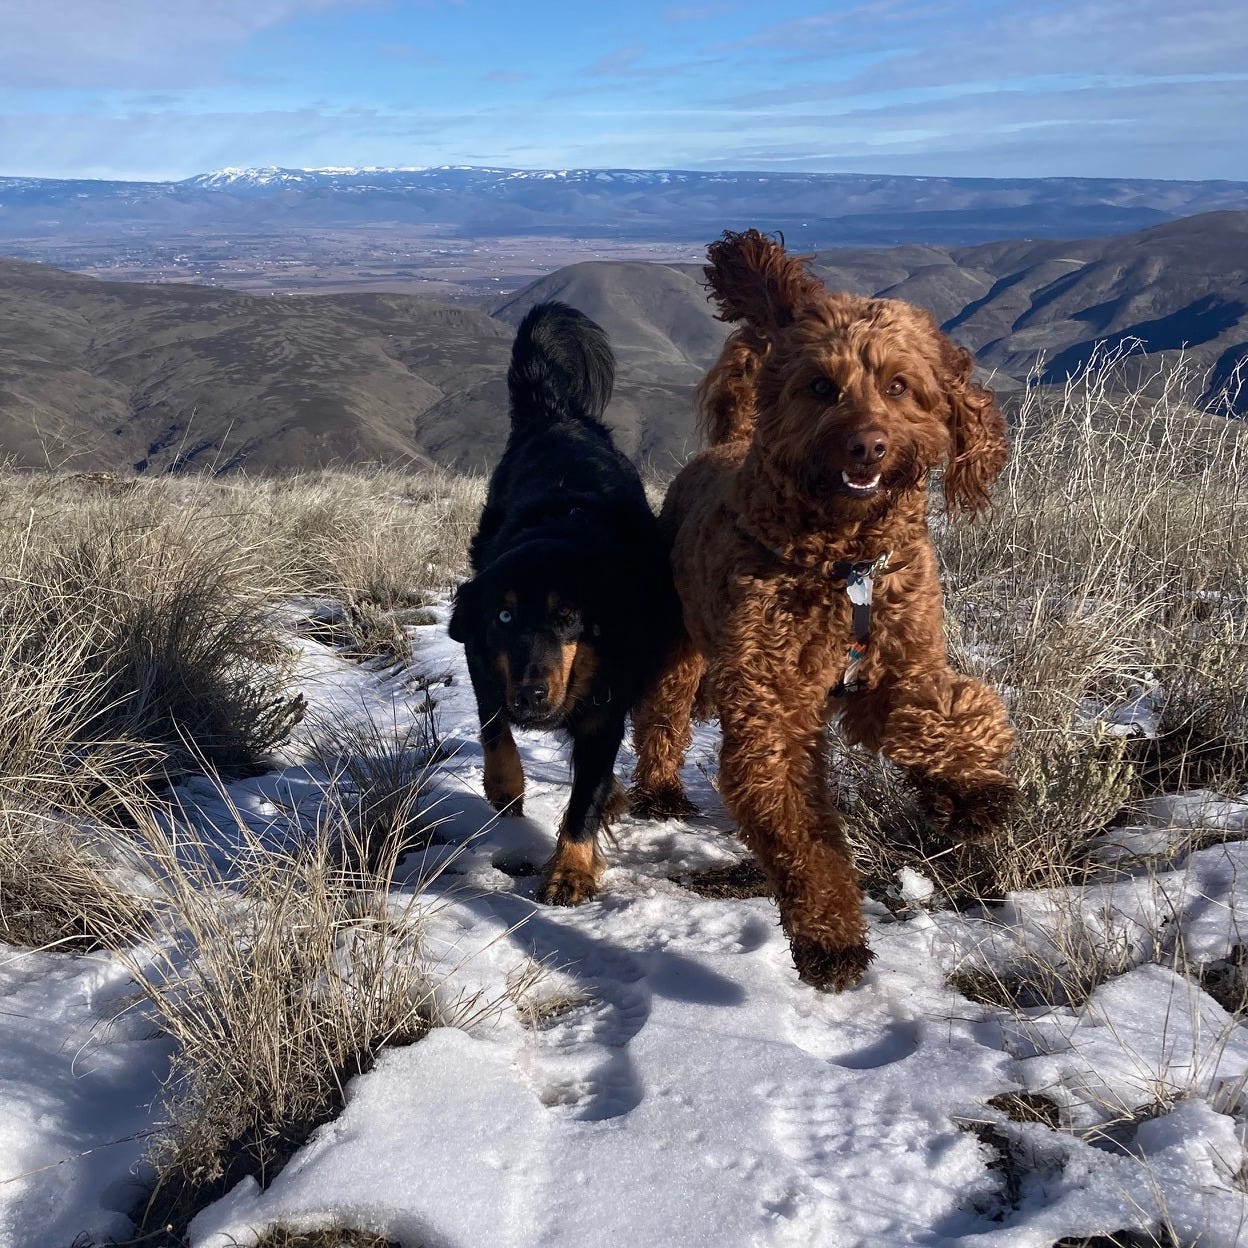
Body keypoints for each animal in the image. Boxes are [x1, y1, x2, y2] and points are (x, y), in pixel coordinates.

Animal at [451, 302, 678, 908]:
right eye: (505, 616)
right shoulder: (481, 651)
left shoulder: (608, 701)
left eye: (568, 617)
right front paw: (504, 785)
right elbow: (493, 726)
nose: (531, 694)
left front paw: (571, 868)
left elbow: (587, 792)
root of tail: (556, 414)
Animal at [633, 229, 1013, 988]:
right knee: (661, 712)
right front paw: (829, 935)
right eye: (820, 387)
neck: (847, 563)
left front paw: (968, 789)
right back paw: (657, 790)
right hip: (678, 643)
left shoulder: (896, 667)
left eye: (898, 385)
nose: (867, 444)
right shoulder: (772, 705)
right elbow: (800, 833)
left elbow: (947, 711)